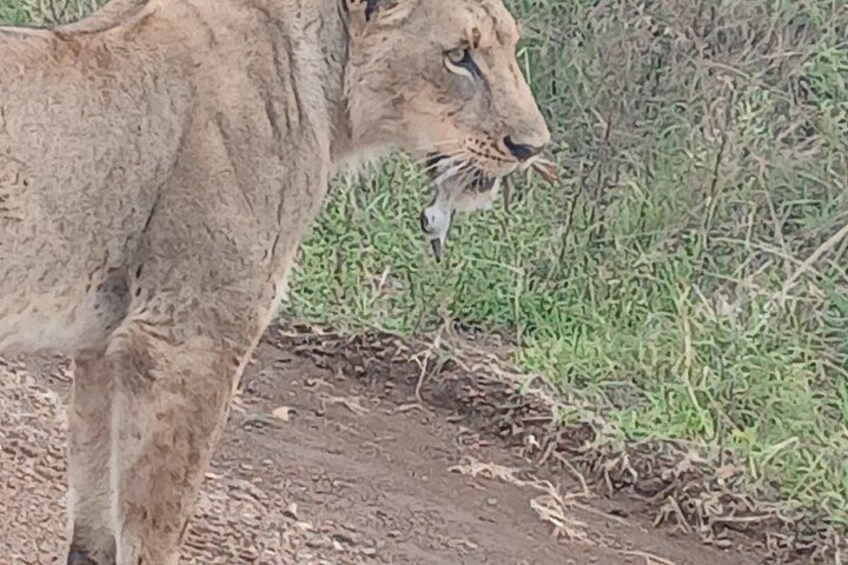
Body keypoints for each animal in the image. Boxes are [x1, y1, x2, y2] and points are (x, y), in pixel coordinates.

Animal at [0, 0, 552, 562]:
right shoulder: (185, 342)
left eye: (509, 46)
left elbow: (94, 527)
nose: (532, 147)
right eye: (459, 56)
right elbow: (157, 527)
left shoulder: (103, 343)